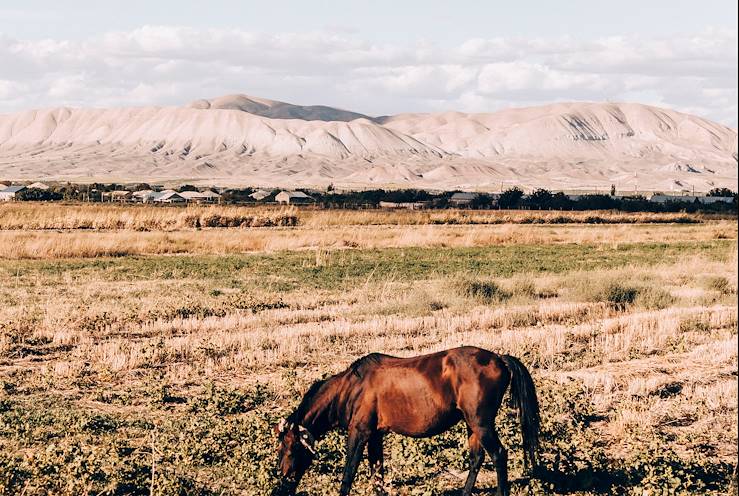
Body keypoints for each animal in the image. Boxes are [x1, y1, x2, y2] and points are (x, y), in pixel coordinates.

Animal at [272, 346, 536, 494]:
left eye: (289, 448)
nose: (281, 483)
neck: (352, 388)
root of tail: (500, 359)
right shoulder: (375, 436)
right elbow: (377, 476)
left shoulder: (359, 433)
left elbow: (348, 475)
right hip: (472, 425)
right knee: (476, 459)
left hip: (481, 424)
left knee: (499, 455)